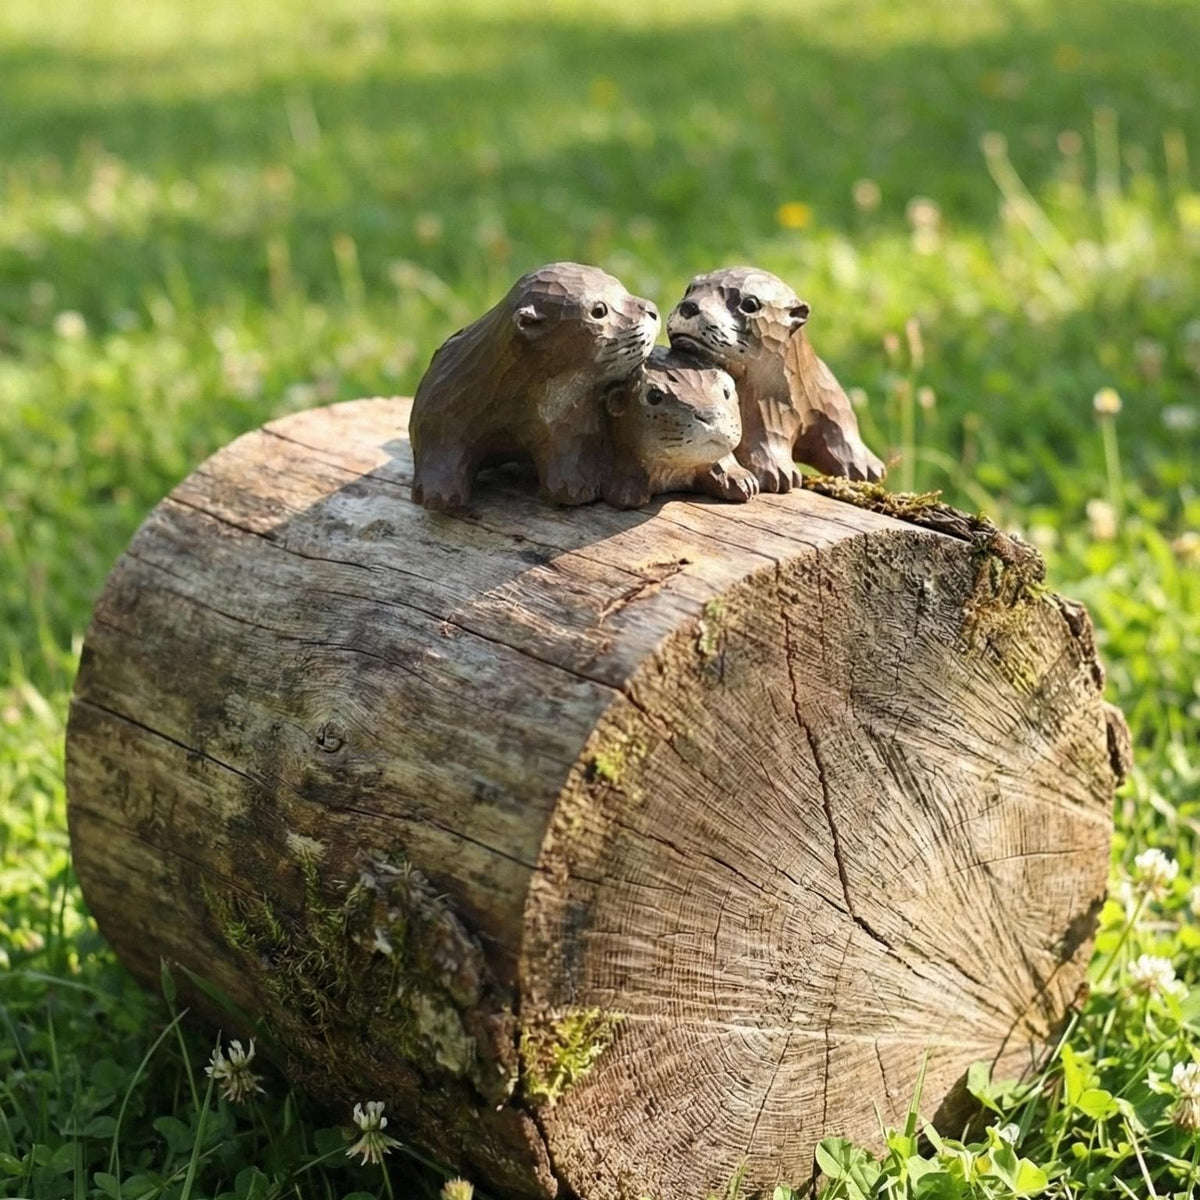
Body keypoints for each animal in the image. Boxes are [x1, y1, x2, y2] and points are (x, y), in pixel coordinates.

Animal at [410, 262, 659, 510]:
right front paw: (438, 495)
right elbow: (438, 447)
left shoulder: (565, 423)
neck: (512, 399)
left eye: (621, 287)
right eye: (599, 310)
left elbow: (567, 455)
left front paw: (576, 490)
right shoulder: (442, 404)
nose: (652, 310)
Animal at [667, 266, 885, 491]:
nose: (690, 306)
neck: (795, 398)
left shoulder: (828, 394)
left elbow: (842, 423)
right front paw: (778, 472)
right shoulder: (762, 415)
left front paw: (865, 465)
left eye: (750, 304)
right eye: (690, 289)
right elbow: (765, 440)